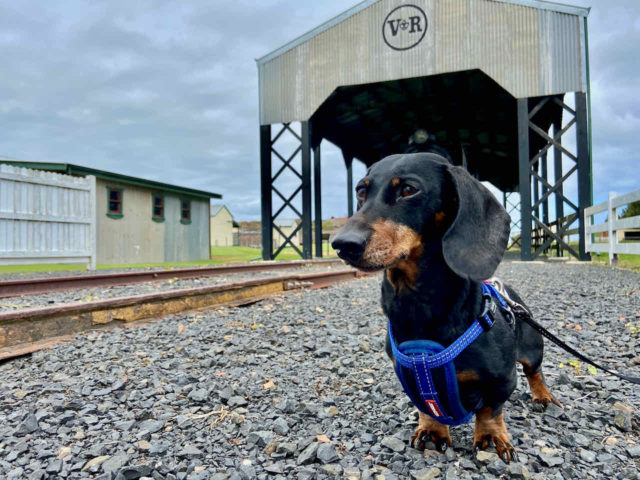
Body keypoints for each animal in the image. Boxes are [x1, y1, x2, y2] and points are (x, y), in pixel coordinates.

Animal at [332, 153, 556, 462]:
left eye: (409, 190)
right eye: (360, 191)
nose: (342, 244)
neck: (419, 303)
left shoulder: (502, 379)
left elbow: (490, 410)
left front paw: (491, 437)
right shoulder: (411, 377)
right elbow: (427, 407)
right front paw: (433, 431)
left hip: (533, 348)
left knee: (535, 372)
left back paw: (542, 396)